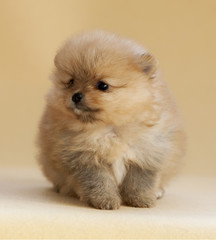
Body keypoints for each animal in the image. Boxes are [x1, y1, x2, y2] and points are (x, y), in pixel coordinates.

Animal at [37, 31, 186, 209]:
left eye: (103, 85)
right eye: (71, 81)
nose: (76, 96)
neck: (112, 127)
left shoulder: (148, 151)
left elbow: (141, 180)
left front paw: (141, 199)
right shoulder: (84, 157)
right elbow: (99, 181)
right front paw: (105, 200)